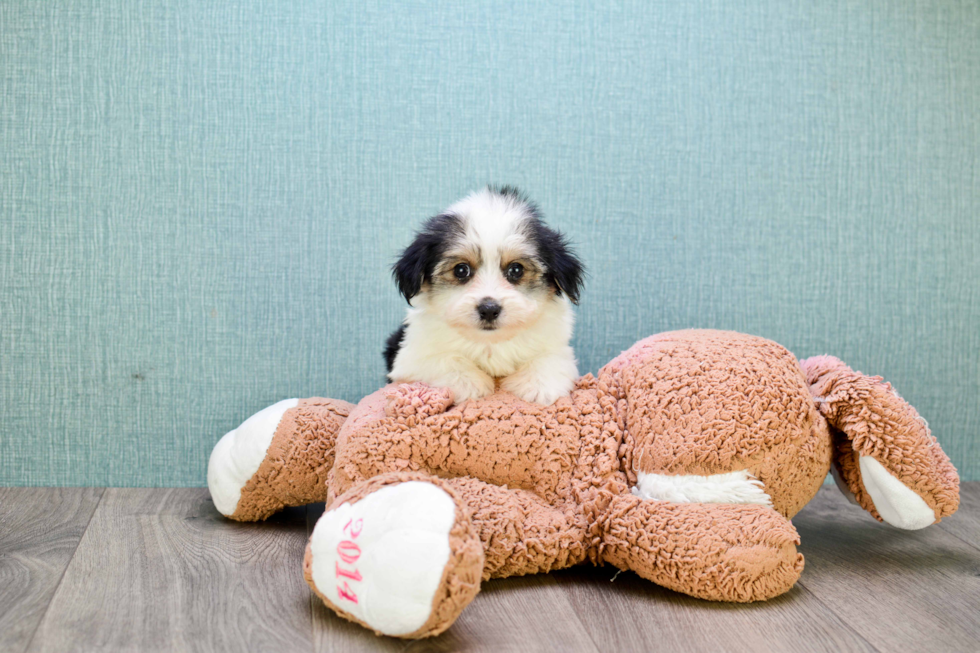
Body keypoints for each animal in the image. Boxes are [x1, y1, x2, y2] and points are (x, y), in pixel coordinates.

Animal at [382, 186, 580, 404]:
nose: (489, 309)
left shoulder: (557, 346)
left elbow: (550, 358)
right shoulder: (409, 357)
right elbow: (444, 359)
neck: (490, 343)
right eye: (461, 270)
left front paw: (537, 386)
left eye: (516, 270)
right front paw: (469, 384)